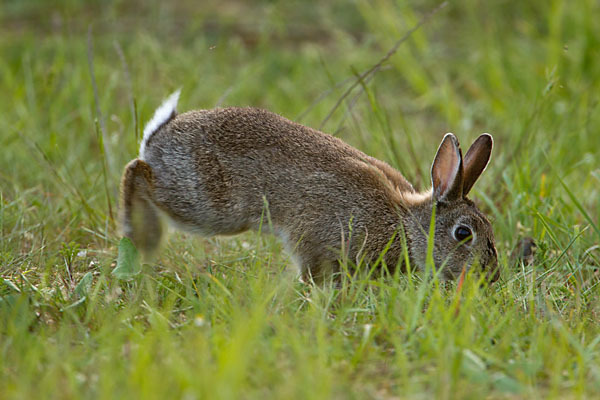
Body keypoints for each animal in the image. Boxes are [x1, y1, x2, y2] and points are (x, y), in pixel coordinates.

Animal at [119, 90, 500, 284]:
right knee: (136, 172)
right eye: (463, 234)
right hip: (208, 203)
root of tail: (161, 136)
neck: (406, 224)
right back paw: (142, 238)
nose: (491, 276)